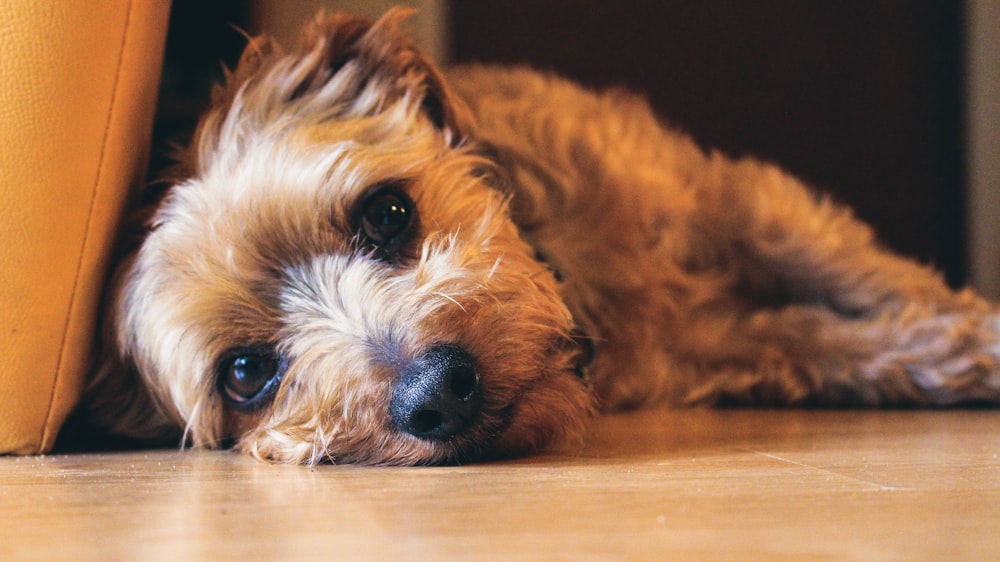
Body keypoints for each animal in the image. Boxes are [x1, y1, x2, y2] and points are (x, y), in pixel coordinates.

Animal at [80, 8, 1000, 464]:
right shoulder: (715, 342)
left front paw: (975, 329)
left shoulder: (731, 199)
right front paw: (947, 354)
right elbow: (825, 344)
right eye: (245, 375)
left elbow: (860, 272)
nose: (437, 393)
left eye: (387, 212)